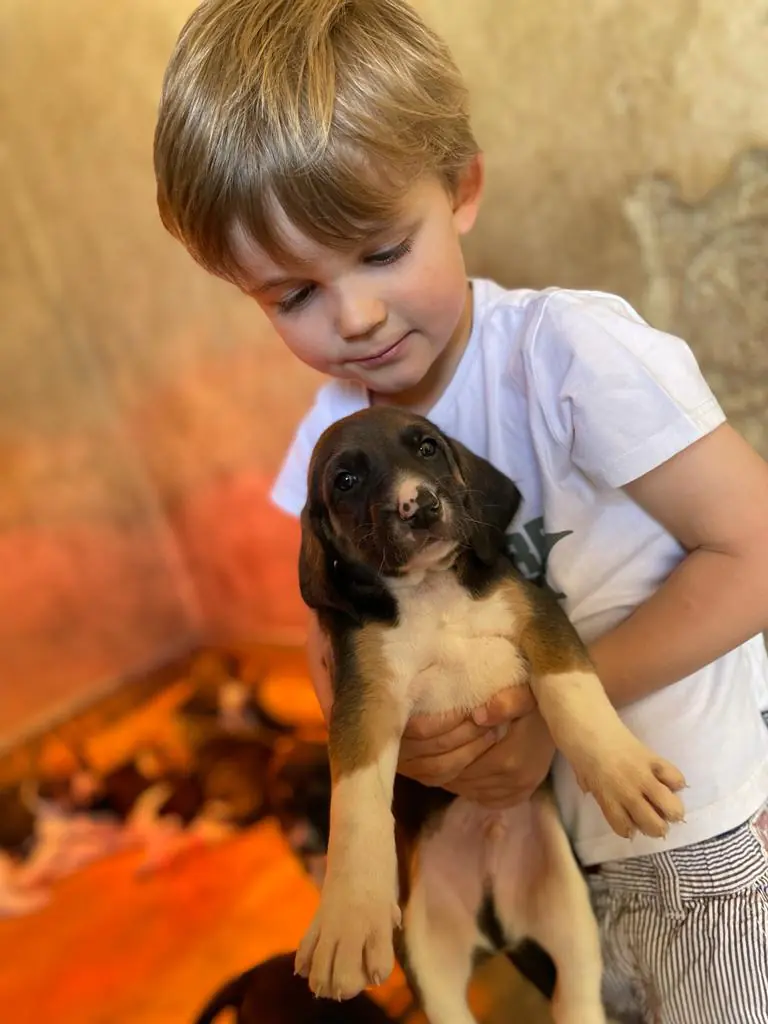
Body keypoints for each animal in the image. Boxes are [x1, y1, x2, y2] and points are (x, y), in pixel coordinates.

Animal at [292, 405, 684, 1024]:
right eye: (346, 481)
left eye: (427, 447)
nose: (420, 505)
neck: (431, 593)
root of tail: (495, 922)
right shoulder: (364, 699)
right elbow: (355, 805)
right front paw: (349, 918)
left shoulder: (539, 619)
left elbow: (572, 695)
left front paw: (623, 774)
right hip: (430, 954)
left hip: (570, 916)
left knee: (576, 994)